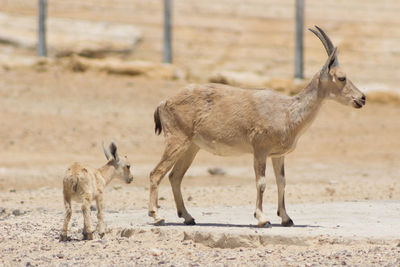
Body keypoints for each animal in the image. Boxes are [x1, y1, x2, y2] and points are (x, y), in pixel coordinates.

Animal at [148, 26, 366, 228]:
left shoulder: (278, 155)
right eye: (341, 77)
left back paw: (188, 217)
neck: (287, 112)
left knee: (175, 176)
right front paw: (263, 219)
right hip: (177, 140)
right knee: (156, 173)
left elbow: (282, 182)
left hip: (192, 147)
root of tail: (164, 102)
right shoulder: (260, 149)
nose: (362, 98)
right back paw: (157, 216)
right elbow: (261, 182)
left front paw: (286, 218)